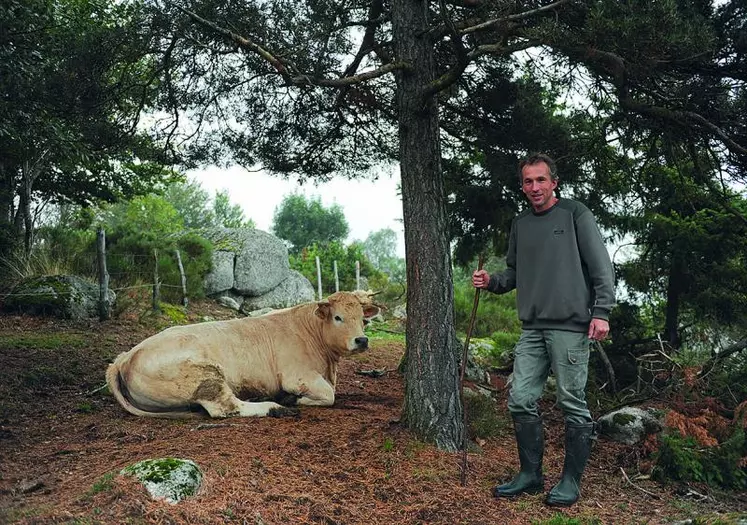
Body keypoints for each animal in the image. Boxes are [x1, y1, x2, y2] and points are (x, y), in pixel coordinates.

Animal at [106, 290, 380, 418]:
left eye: (363, 320)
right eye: (338, 317)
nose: (362, 340)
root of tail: (126, 356)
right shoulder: (297, 376)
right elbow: (329, 394)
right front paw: (296, 400)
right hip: (206, 376)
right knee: (226, 407)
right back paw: (275, 407)